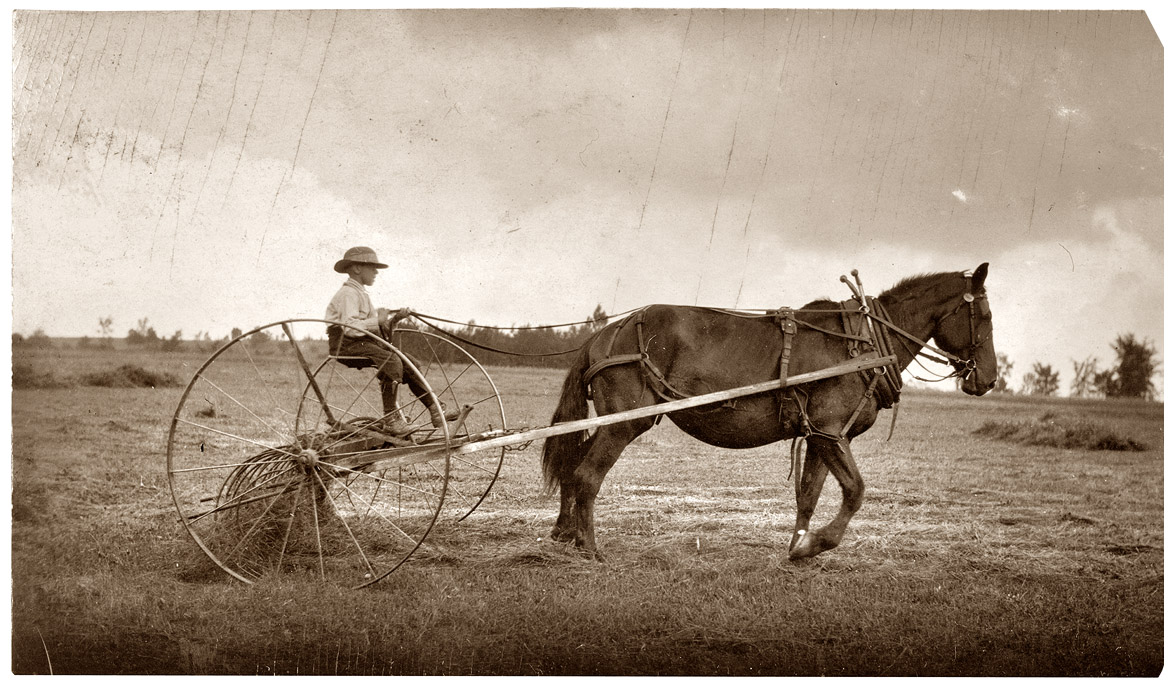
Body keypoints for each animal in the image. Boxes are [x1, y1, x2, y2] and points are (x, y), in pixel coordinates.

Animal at [542, 262, 1000, 556]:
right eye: (986, 316)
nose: (989, 379)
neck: (865, 343)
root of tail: (606, 332)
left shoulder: (821, 436)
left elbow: (809, 496)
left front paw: (798, 546)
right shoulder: (830, 431)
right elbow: (854, 492)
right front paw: (816, 545)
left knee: (573, 466)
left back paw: (565, 533)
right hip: (623, 423)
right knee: (587, 475)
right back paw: (590, 548)